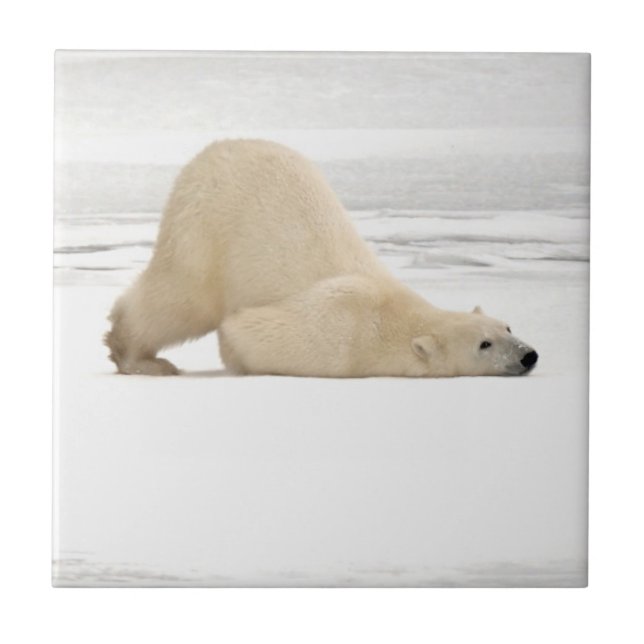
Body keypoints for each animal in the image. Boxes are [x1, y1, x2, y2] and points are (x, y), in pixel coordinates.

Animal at [105, 139, 538, 377]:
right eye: (484, 344)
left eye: (508, 326)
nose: (529, 355)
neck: (394, 316)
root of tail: (213, 150)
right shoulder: (341, 333)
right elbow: (244, 329)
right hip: (206, 227)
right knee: (180, 299)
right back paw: (140, 358)